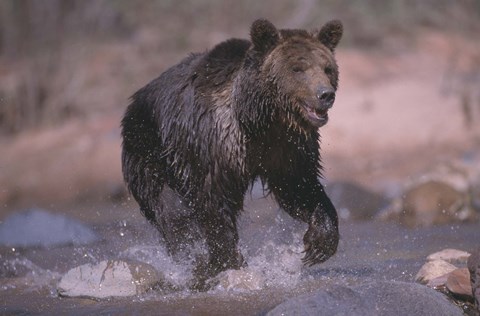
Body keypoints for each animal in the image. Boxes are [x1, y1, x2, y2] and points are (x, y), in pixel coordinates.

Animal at [122, 18, 344, 288]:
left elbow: (300, 188)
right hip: (149, 151)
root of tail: (134, 100)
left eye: (327, 68)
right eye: (297, 69)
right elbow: (214, 203)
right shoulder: (215, 144)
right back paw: (195, 262)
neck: (260, 119)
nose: (325, 95)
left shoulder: (288, 149)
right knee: (172, 213)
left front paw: (319, 243)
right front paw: (229, 262)